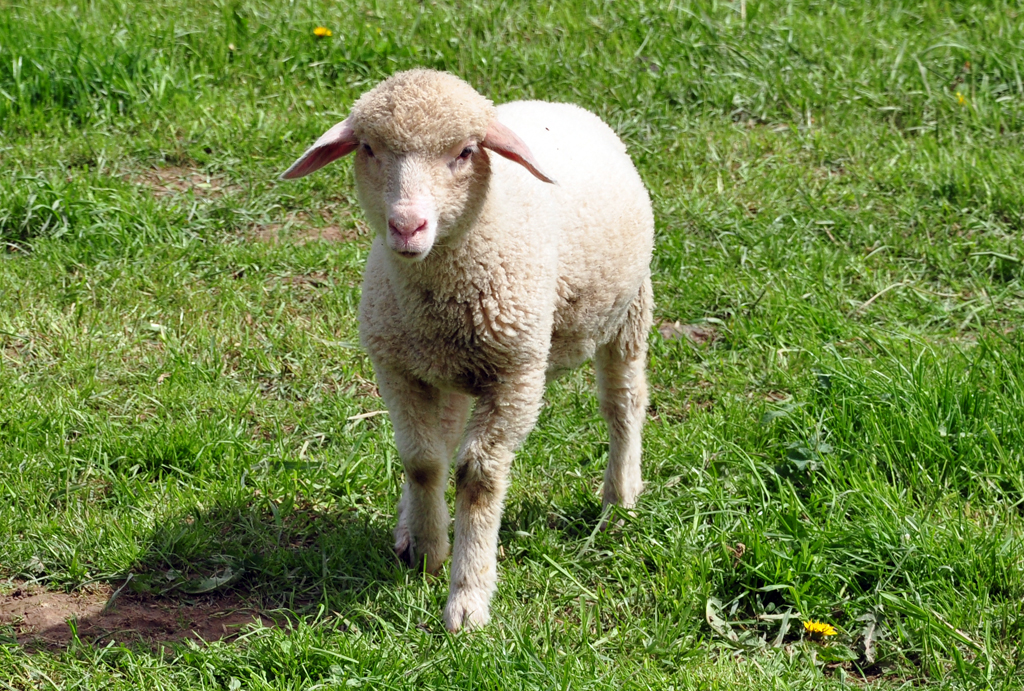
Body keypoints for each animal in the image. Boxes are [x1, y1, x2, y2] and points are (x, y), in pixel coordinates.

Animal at [280, 70, 651, 630]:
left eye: (465, 152)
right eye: (368, 148)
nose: (407, 226)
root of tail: (557, 102)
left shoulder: (518, 375)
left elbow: (478, 476)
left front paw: (468, 599)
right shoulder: (397, 368)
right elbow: (422, 461)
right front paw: (429, 552)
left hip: (628, 313)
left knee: (623, 405)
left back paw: (619, 501)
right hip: (445, 369)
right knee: (443, 436)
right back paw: (409, 527)